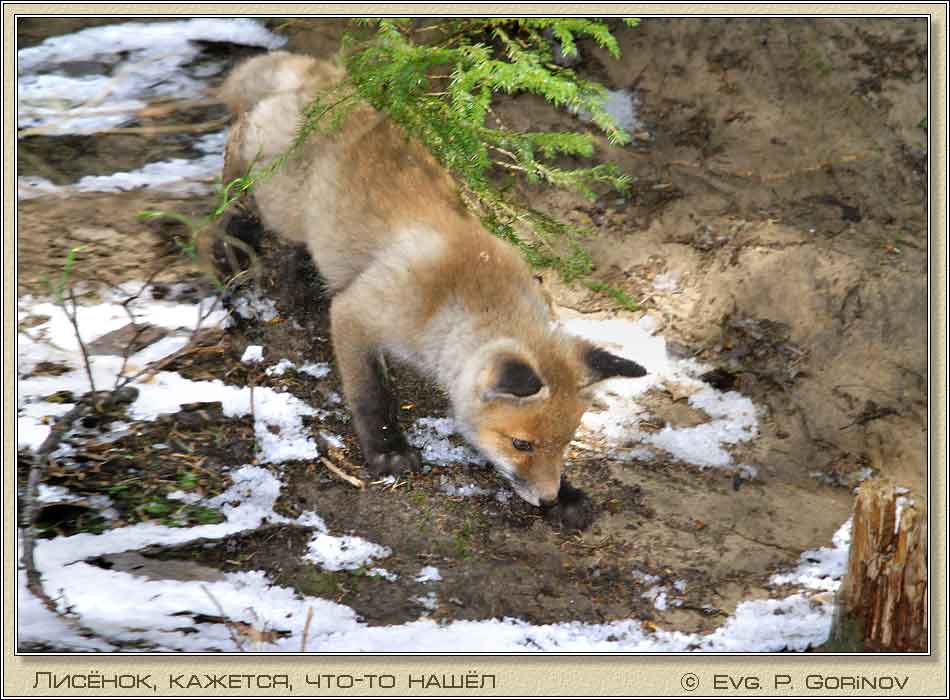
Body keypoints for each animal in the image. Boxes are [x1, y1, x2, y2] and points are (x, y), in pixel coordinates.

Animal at [218, 51, 647, 527]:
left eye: (566, 443)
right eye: (522, 444)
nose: (549, 499)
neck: (454, 303)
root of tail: (329, 81)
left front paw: (571, 493)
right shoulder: (356, 313)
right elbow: (372, 394)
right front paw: (388, 450)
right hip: (277, 196)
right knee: (237, 145)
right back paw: (230, 231)